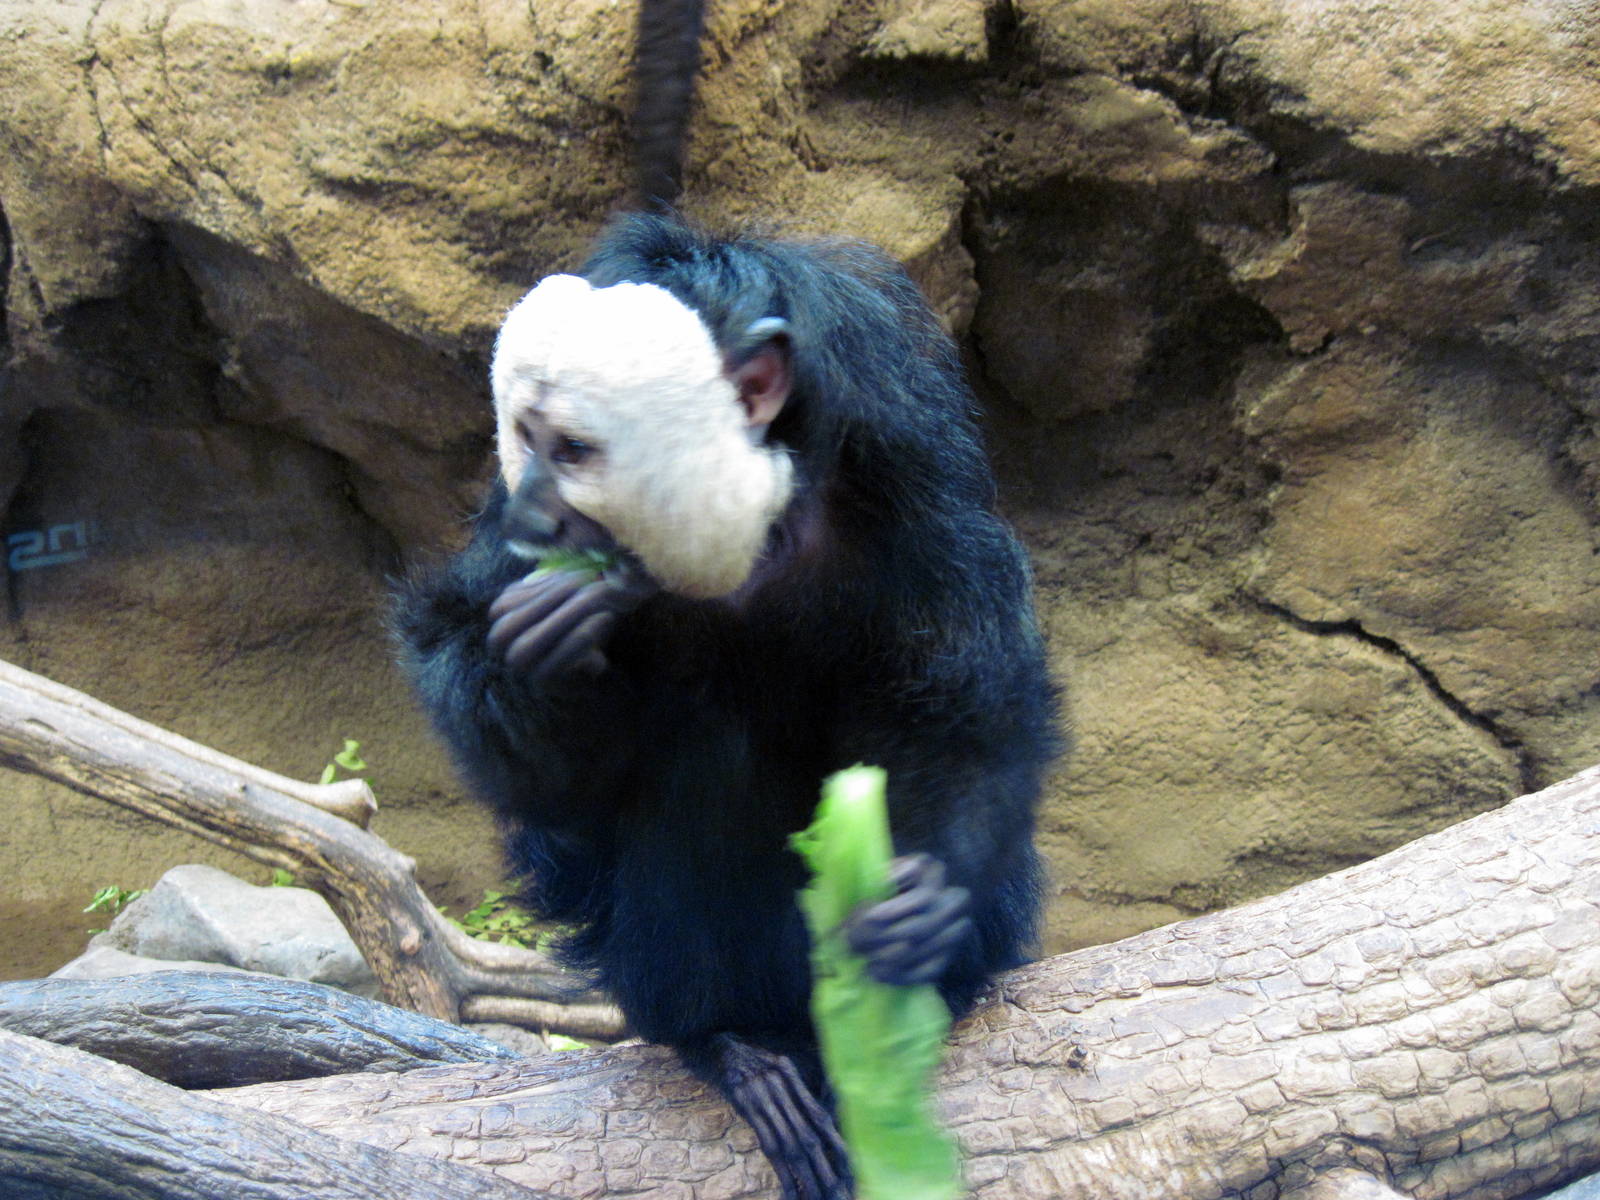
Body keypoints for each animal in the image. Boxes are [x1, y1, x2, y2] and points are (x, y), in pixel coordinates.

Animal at [394, 213, 1060, 1199]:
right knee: (703, 758)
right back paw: (732, 1043)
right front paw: (547, 661)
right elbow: (552, 796)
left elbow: (963, 701)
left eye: (575, 450)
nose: (538, 517)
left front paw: (926, 910)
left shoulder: (904, 474)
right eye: (526, 436)